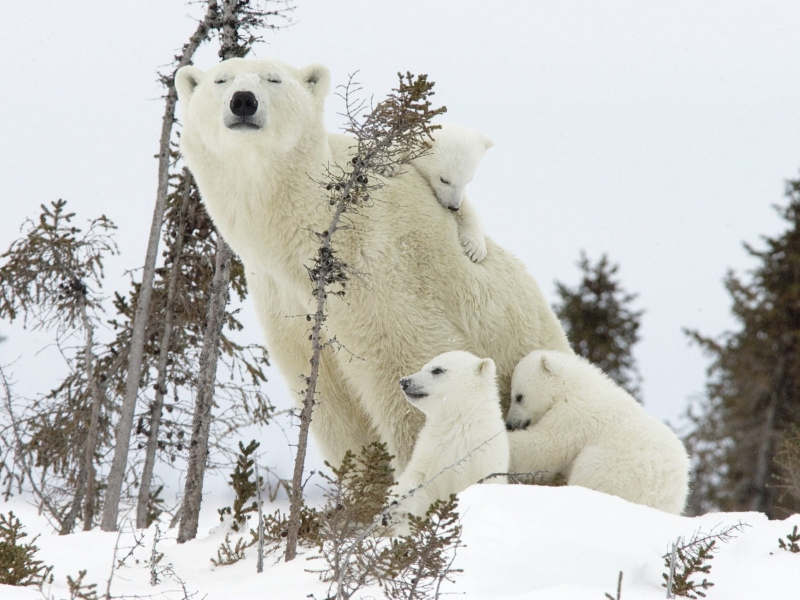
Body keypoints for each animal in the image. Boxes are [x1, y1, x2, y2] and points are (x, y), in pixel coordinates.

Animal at [388, 123, 494, 262]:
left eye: (468, 181)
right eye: (444, 179)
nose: (453, 207)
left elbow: (467, 209)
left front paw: (475, 249)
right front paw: (388, 164)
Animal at [390, 352, 510, 524]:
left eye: (437, 370)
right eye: (424, 366)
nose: (404, 381)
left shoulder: (482, 461)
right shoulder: (430, 452)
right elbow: (418, 481)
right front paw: (395, 507)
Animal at [506, 350, 688, 512]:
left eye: (519, 396)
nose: (510, 423)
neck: (575, 385)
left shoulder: (575, 414)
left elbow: (545, 446)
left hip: (613, 469)